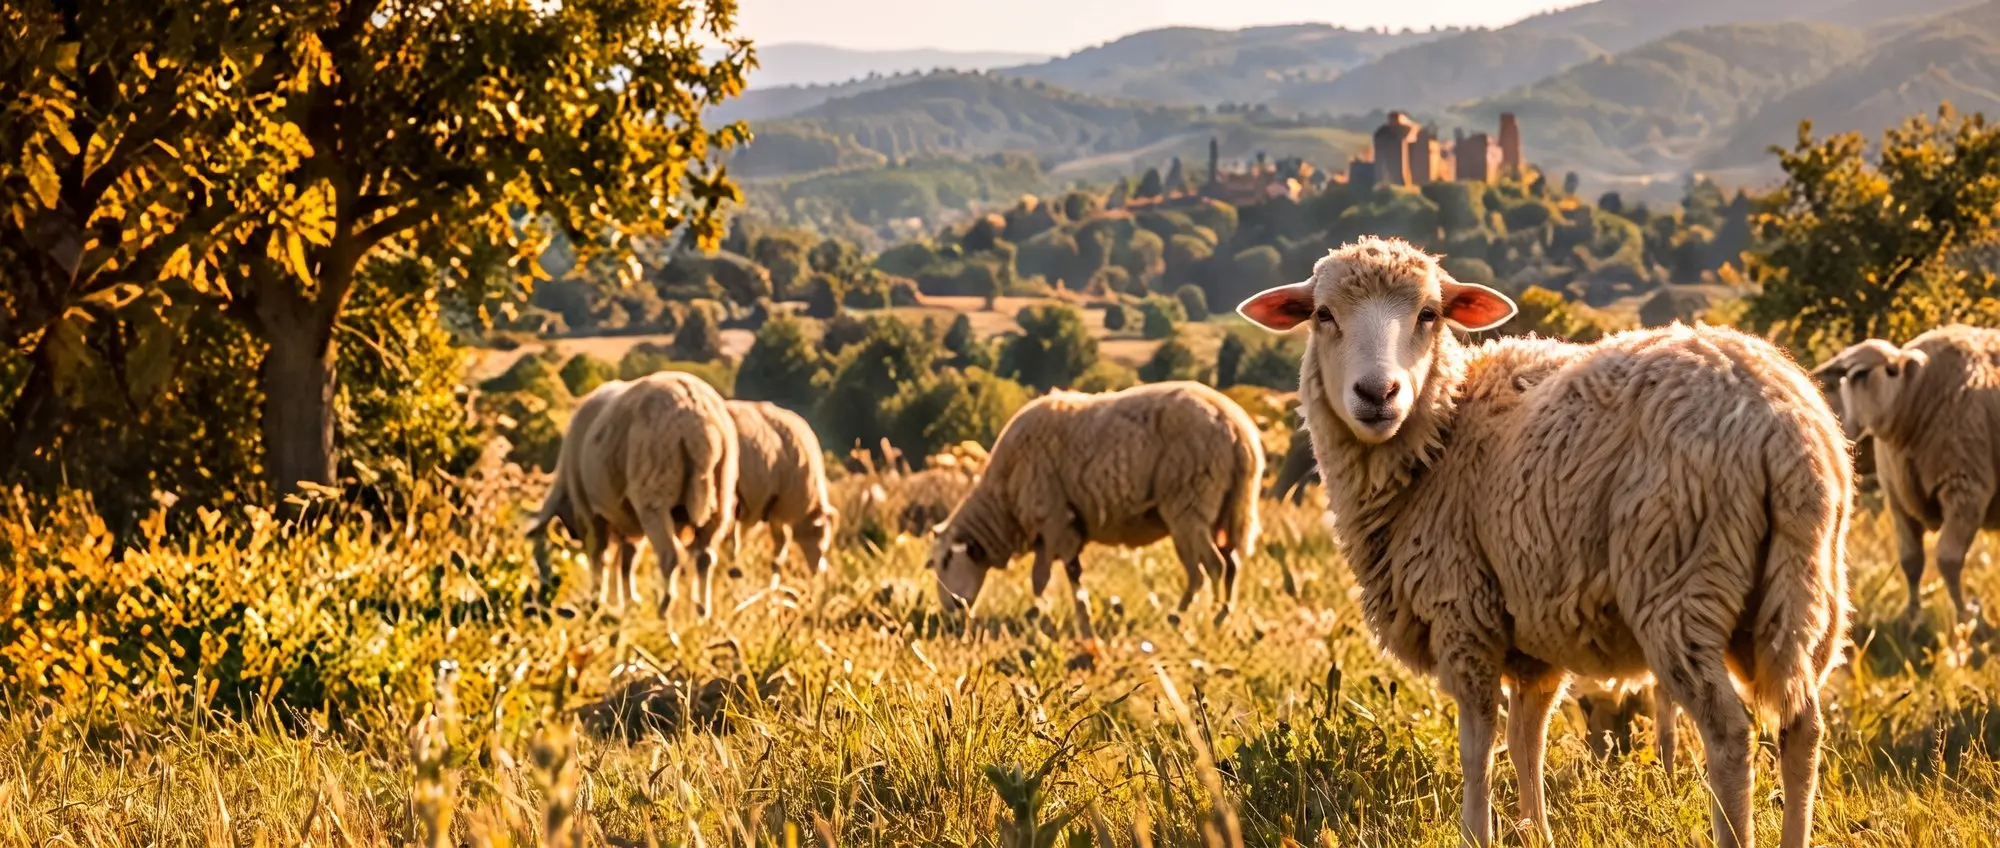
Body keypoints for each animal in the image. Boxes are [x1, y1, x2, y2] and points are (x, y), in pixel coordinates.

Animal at [526, 372, 738, 617]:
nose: (543, 596)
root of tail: (697, 419)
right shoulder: (628, 523)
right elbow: (627, 562)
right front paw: (627, 603)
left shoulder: (591, 513)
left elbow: (600, 557)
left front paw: (596, 602)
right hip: (721, 494)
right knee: (705, 557)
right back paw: (702, 612)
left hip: (654, 495)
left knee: (671, 556)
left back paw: (664, 610)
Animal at [927, 381, 1264, 633]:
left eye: (946, 561)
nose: (951, 611)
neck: (1002, 503)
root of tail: (1239, 433)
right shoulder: (1059, 531)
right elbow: (1065, 576)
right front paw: (1073, 614)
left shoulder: (1053, 520)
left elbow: (1045, 580)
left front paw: (1044, 616)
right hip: (1225, 510)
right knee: (1230, 564)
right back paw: (1221, 616)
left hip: (1189, 506)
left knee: (1209, 568)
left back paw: (1191, 619)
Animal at [1239, 236, 1850, 848]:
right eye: (1323, 315)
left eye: (1429, 314)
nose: (1377, 393)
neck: (1445, 429)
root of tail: (1777, 424)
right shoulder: (1535, 629)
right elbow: (1525, 741)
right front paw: (1535, 830)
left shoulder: (1464, 611)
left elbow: (1478, 746)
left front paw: (1476, 833)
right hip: (1804, 590)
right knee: (1802, 727)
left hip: (1679, 578)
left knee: (1729, 735)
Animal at [1813, 325, 2000, 623]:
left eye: (1862, 373)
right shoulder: (1898, 497)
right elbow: (1911, 561)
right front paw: (1912, 616)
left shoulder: (1966, 491)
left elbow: (1948, 560)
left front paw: (1964, 617)